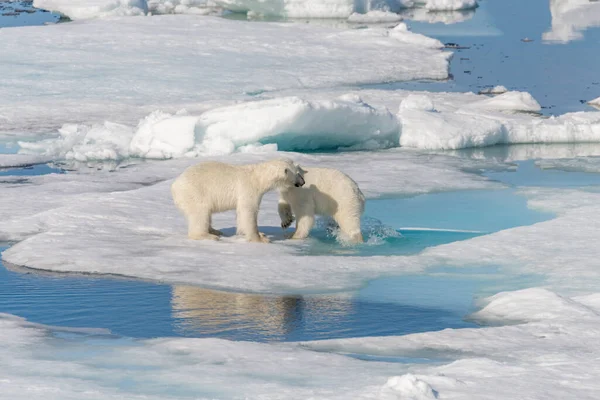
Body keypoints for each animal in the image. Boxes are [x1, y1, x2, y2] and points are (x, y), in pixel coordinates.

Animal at [172, 159, 308, 241]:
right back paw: (207, 235)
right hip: (195, 192)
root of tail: (175, 185)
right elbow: (247, 211)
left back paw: (215, 231)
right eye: (298, 173)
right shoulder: (248, 189)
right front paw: (260, 238)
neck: (258, 178)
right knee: (200, 212)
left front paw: (262, 234)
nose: (303, 182)